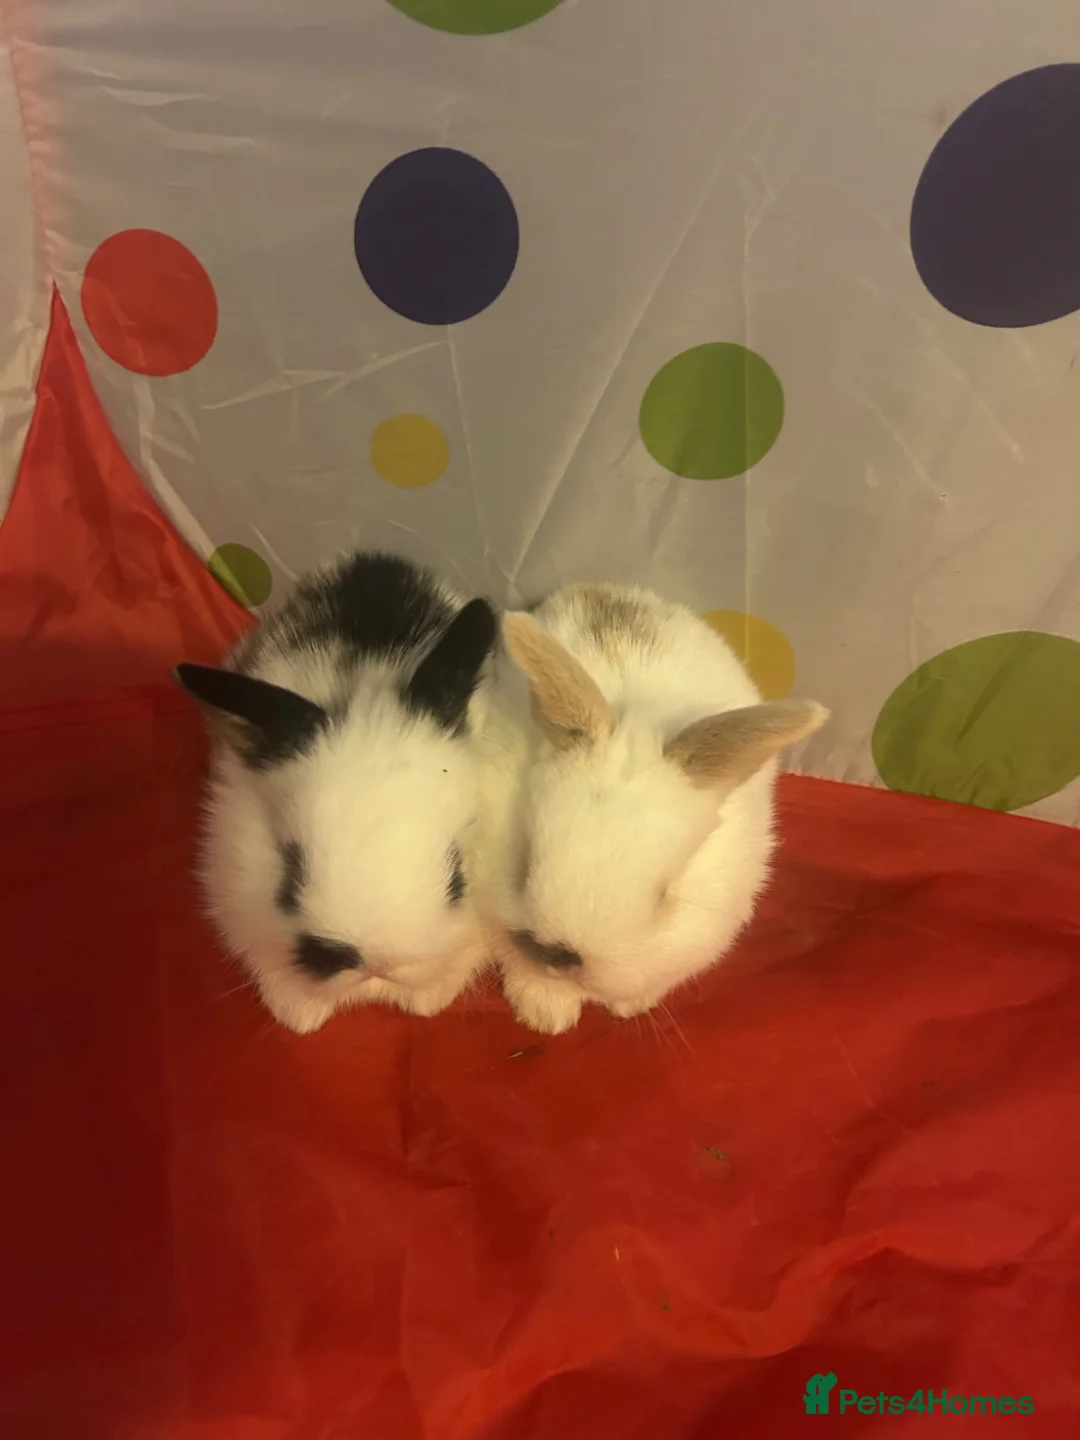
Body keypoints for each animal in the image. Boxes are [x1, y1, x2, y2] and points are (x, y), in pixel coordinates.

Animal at [175, 550, 498, 1034]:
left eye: (458, 876)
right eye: (290, 875)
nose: (379, 965)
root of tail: (377, 558)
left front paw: (427, 1004)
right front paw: (299, 1018)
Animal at [470, 582, 827, 1035]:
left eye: (664, 896)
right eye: (524, 859)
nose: (558, 955)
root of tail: (605, 587)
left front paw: (628, 1007)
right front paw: (546, 1016)